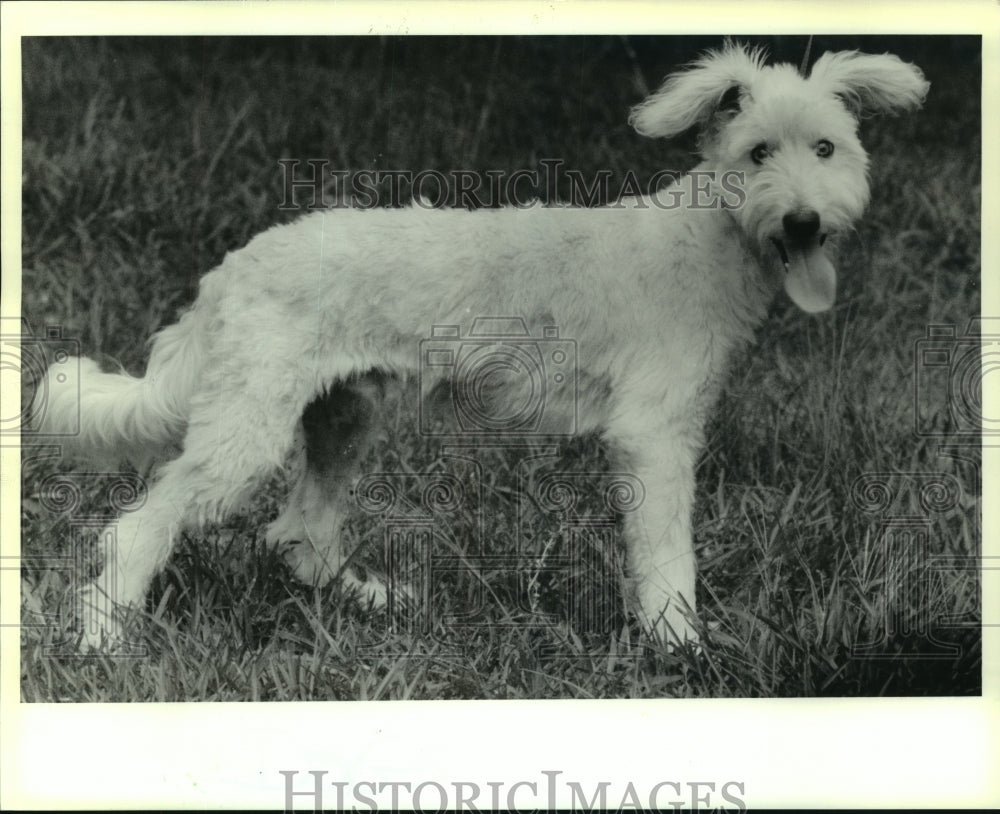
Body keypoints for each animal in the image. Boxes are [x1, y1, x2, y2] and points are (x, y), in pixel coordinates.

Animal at [39, 43, 928, 652]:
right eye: (757, 153)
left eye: (826, 148)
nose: (804, 222)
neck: (710, 237)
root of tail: (232, 268)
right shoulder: (654, 437)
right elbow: (668, 553)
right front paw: (680, 645)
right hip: (244, 435)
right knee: (140, 528)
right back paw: (103, 636)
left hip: (344, 415)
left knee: (299, 531)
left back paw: (367, 600)